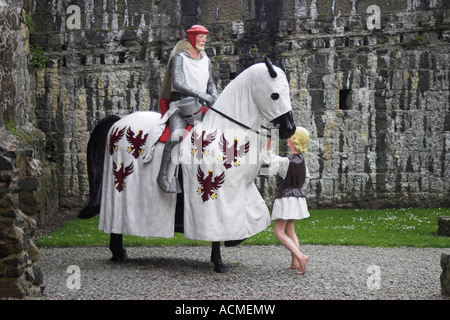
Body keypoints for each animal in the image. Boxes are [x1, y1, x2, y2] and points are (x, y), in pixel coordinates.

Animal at [79, 58, 298, 272]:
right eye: (275, 95)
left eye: (288, 92)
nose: (289, 129)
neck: (224, 130)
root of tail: (118, 121)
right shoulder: (215, 202)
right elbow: (217, 231)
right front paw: (219, 262)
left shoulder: (242, 191)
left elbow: (253, 219)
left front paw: (231, 243)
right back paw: (118, 252)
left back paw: (119, 252)